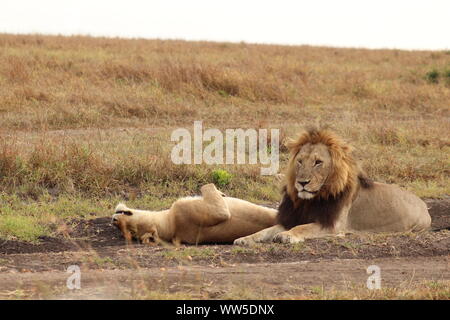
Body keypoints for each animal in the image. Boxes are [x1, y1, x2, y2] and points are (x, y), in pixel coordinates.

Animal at [110, 184, 276, 244]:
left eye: (130, 230)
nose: (114, 220)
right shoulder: (217, 212)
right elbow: (208, 187)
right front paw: (220, 192)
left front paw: (222, 193)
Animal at [234, 128, 430, 245]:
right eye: (300, 161)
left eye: (318, 162)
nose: (302, 183)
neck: (310, 201)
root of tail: (424, 205)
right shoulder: (292, 218)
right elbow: (265, 230)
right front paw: (244, 238)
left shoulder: (332, 225)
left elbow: (302, 228)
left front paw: (287, 235)